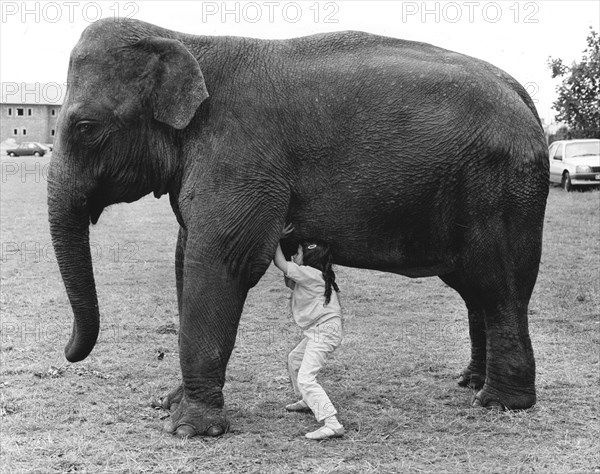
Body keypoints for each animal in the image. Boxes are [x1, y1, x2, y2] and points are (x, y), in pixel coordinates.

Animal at [48, 19, 548, 440]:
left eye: (85, 126)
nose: (69, 353)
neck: (185, 38)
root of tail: (525, 100)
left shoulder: (241, 158)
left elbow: (220, 262)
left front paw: (190, 429)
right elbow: (185, 256)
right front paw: (169, 403)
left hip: (500, 193)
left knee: (498, 287)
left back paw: (499, 403)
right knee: (474, 290)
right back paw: (470, 383)